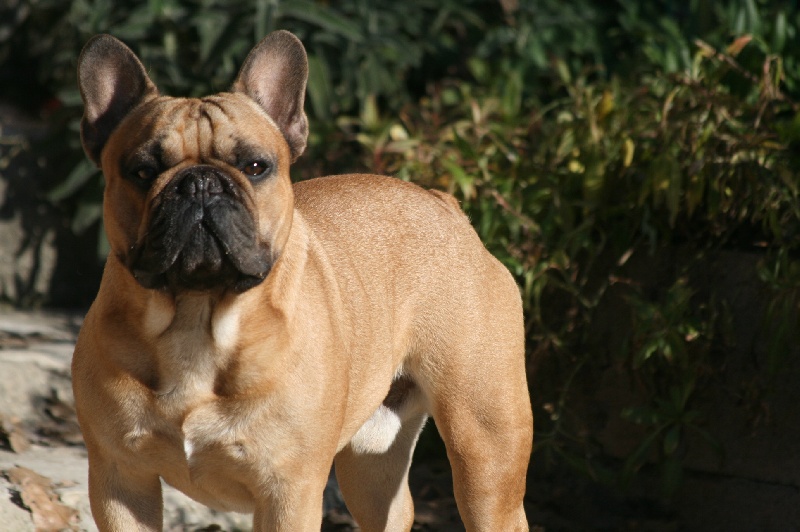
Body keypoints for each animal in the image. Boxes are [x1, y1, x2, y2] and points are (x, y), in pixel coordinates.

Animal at [72, 30, 533, 531]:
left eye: (255, 167)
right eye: (142, 171)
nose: (199, 183)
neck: (196, 319)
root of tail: (445, 205)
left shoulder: (288, 491)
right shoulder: (121, 479)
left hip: (484, 448)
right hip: (373, 457)